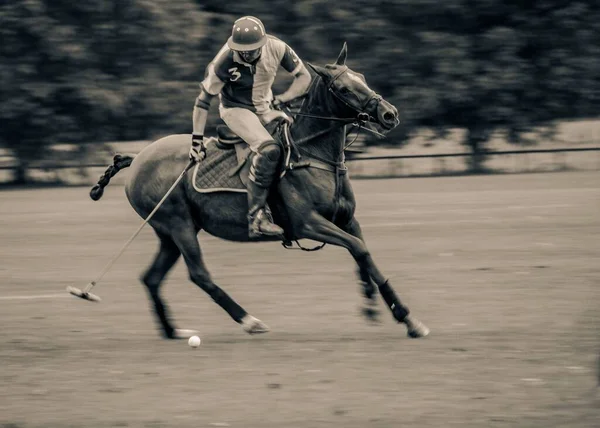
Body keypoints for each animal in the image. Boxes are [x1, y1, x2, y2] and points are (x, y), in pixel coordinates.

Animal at [88, 41, 432, 340]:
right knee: (199, 275)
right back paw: (249, 321)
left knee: (151, 277)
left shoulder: (347, 219)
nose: (389, 114)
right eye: (344, 88)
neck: (316, 154)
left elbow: (362, 254)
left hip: (168, 232)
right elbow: (359, 249)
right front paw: (404, 315)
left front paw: (375, 306)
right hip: (178, 223)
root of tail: (137, 158)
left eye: (361, 77)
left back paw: (173, 331)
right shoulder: (307, 223)